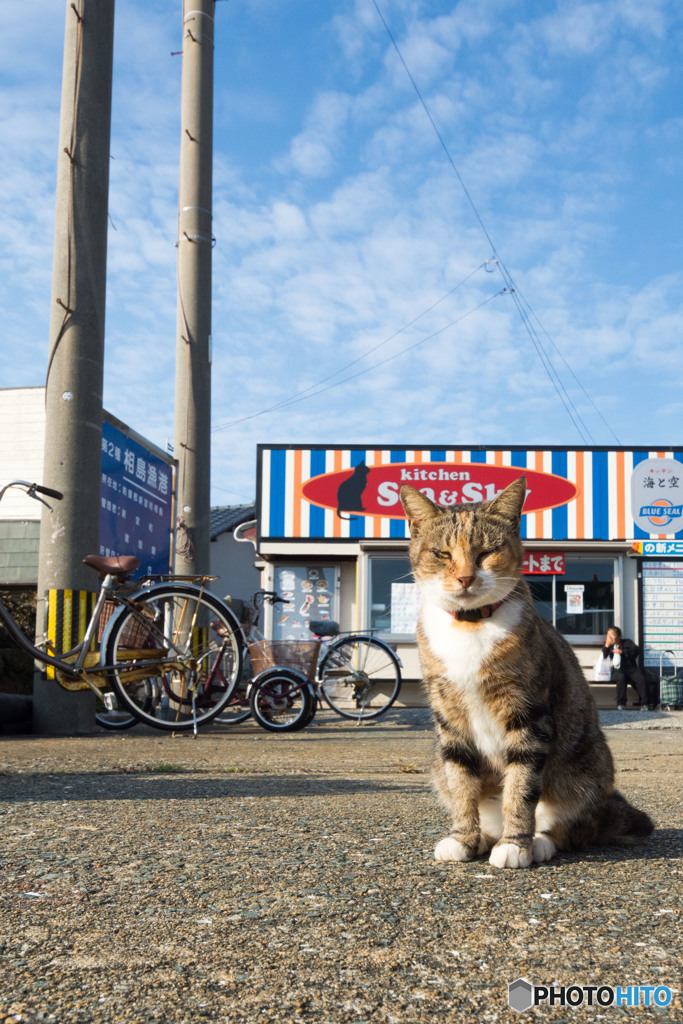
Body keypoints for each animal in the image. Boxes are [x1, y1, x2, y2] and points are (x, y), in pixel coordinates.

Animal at [403, 475, 655, 868]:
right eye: (442, 554)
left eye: (486, 553)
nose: (465, 578)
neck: (471, 625)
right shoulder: (450, 719)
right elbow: (461, 784)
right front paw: (463, 838)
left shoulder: (528, 714)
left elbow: (520, 787)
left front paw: (515, 844)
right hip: (436, 762)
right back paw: (485, 837)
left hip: (586, 766)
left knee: (571, 825)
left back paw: (539, 841)